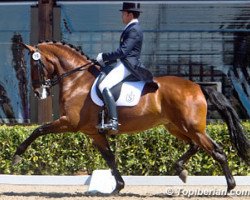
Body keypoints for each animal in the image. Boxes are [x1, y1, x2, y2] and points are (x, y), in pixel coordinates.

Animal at [12, 41, 249, 194]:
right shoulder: (93, 133)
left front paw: (17, 156)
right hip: (176, 126)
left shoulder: (69, 122)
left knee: (217, 151)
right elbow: (110, 158)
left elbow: (38, 130)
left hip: (192, 128)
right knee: (195, 146)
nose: (37, 92)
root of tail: (198, 86)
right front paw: (118, 187)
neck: (77, 81)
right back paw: (181, 170)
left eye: (35, 65)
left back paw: (230, 187)